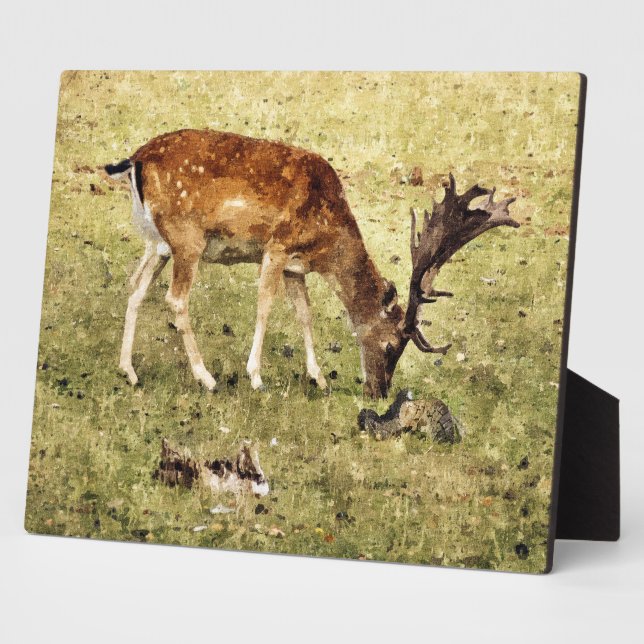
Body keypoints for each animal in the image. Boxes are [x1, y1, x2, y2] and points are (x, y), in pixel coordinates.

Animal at [105, 129, 518, 399]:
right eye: (391, 346)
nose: (380, 392)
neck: (326, 242)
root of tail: (135, 160)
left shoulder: (294, 266)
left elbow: (305, 314)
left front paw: (318, 377)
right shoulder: (277, 245)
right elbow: (265, 307)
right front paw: (256, 376)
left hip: (159, 243)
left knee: (135, 286)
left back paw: (129, 371)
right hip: (188, 237)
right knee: (175, 299)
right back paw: (205, 378)